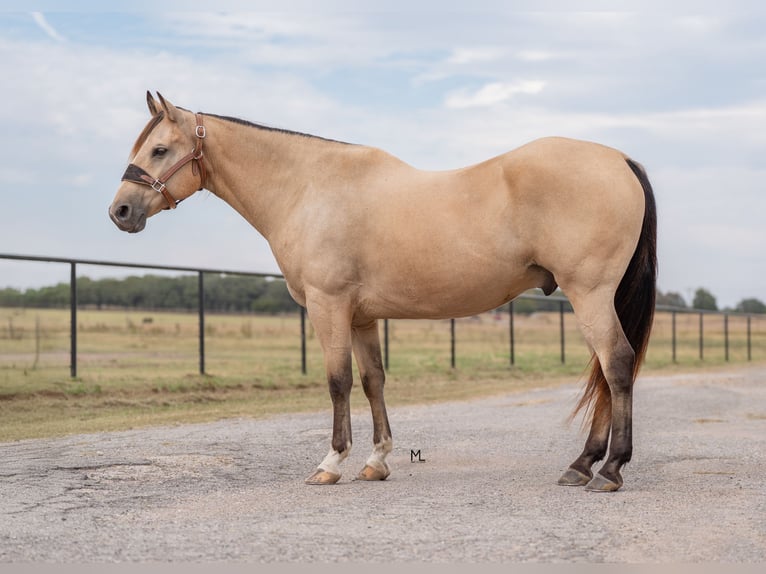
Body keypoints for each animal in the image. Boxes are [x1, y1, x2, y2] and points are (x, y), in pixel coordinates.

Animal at [109, 92, 657, 492]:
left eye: (159, 149)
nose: (120, 211)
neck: (308, 189)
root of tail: (621, 159)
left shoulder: (328, 306)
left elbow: (338, 381)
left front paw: (331, 463)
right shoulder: (362, 317)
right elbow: (374, 381)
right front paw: (377, 461)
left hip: (589, 294)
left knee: (617, 364)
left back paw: (608, 470)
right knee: (606, 372)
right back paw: (583, 465)